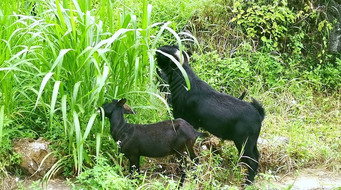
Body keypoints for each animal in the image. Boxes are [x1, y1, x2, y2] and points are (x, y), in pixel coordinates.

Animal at [155, 45, 264, 186]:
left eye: (165, 53)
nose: (156, 50)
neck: (184, 82)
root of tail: (258, 114)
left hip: (244, 142)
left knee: (252, 161)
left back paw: (247, 183)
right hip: (251, 142)